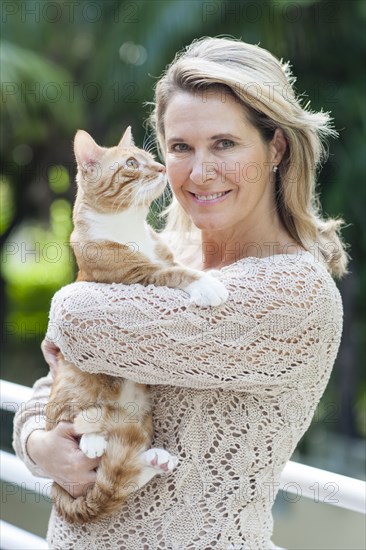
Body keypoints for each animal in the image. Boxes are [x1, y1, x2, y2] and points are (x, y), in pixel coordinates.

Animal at [45, 126, 229, 528]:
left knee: (123, 471)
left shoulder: (162, 257)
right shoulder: (137, 278)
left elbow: (179, 264)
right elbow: (177, 273)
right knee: (73, 424)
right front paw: (208, 285)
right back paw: (93, 439)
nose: (161, 169)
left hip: (141, 415)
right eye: (131, 164)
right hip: (73, 385)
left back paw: (155, 459)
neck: (129, 226)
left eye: (151, 158)